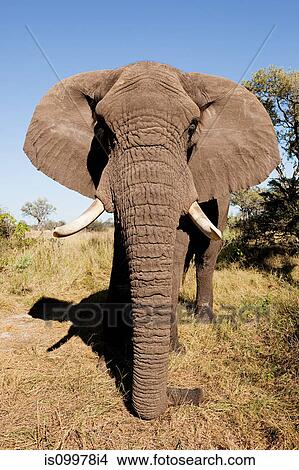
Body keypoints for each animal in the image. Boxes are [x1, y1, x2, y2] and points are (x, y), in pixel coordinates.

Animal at [24, 59, 282, 418]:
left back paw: (203, 319)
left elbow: (176, 246)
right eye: (102, 129)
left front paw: (173, 350)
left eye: (192, 128)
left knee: (207, 255)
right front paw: (114, 348)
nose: (192, 392)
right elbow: (123, 249)